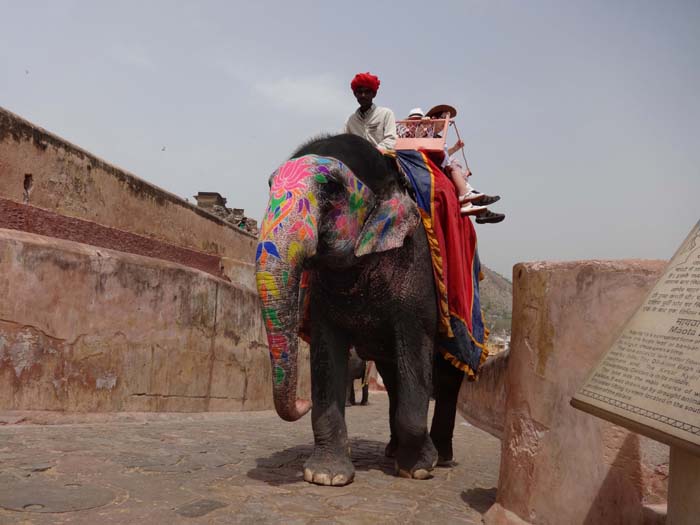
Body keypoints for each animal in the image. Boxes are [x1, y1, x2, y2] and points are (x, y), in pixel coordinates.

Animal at [256, 133, 464, 486]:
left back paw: (443, 456)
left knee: (448, 377)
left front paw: (419, 470)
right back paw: (393, 451)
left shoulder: (416, 275)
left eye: (332, 188)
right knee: (392, 379)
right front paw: (326, 476)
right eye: (269, 184)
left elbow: (415, 348)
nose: (301, 402)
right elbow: (327, 356)